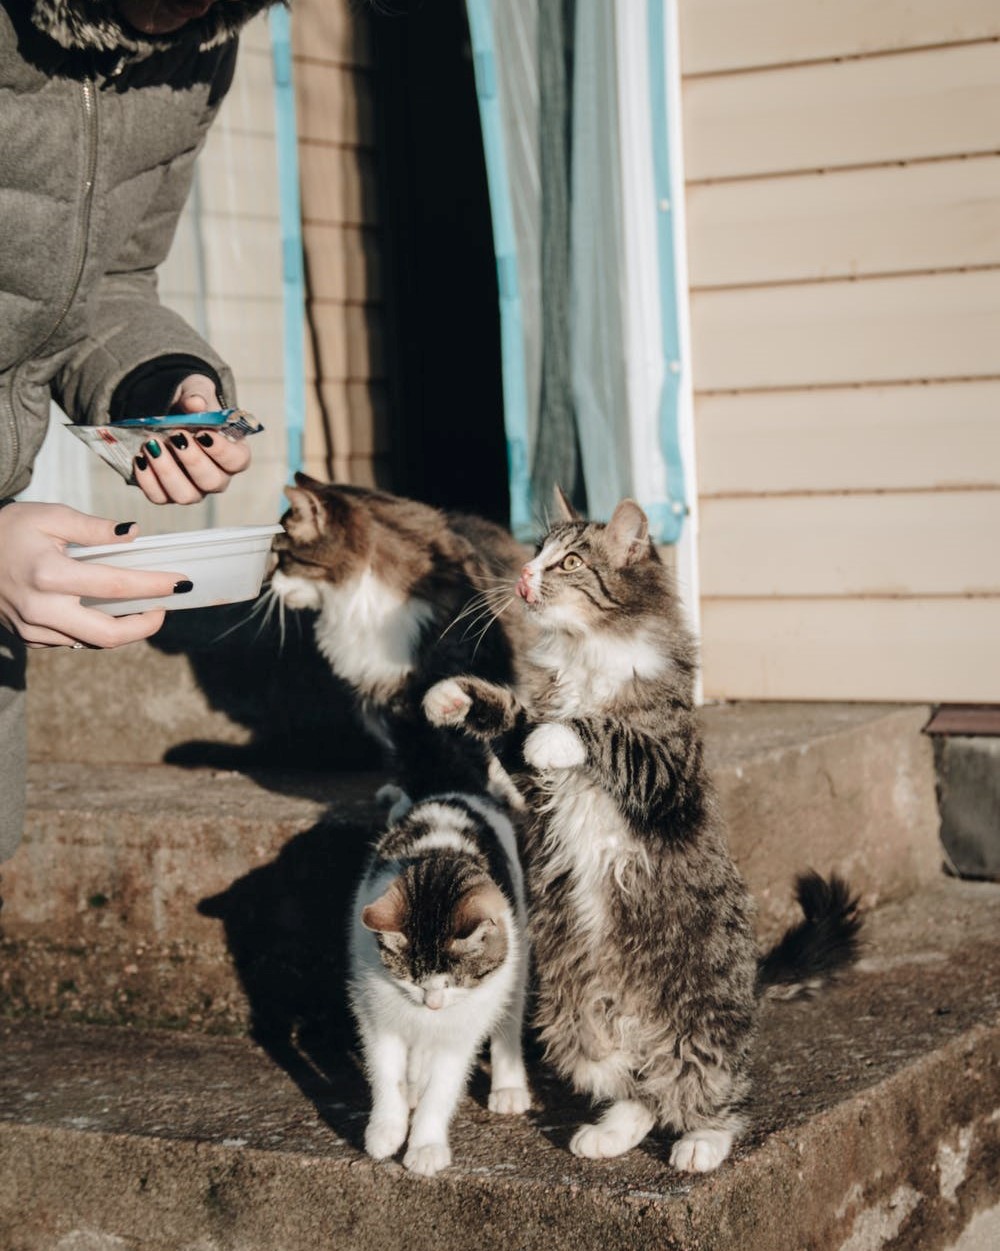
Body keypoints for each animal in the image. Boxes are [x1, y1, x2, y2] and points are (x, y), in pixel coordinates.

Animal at [265, 472, 530, 805]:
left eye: (280, 555)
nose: (269, 581)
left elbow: (480, 739)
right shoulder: (390, 700)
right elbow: (412, 755)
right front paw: (414, 798)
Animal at [347, 790, 530, 1170]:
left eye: (453, 982)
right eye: (411, 979)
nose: (431, 1004)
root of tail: (455, 793)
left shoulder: (460, 1028)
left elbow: (442, 1087)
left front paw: (426, 1147)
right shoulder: (375, 1010)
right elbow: (385, 1070)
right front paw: (385, 1130)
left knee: (509, 1016)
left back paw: (508, 1088)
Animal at [423, 490, 861, 1170]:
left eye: (570, 561)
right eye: (537, 552)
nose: (523, 576)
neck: (585, 654)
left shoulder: (666, 772)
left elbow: (604, 733)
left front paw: (563, 735)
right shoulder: (532, 780)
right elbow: (513, 721)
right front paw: (453, 698)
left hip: (698, 1017)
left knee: (710, 1088)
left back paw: (702, 1143)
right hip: (574, 1020)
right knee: (637, 1088)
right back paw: (610, 1132)